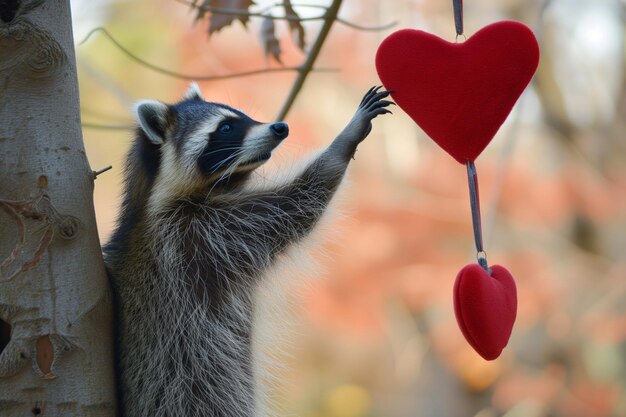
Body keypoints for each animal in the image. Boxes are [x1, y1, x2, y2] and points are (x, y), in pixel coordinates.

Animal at [105, 84, 392, 416]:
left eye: (242, 115)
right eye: (226, 127)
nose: (280, 127)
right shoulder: (197, 234)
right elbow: (297, 205)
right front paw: (343, 143)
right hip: (190, 390)